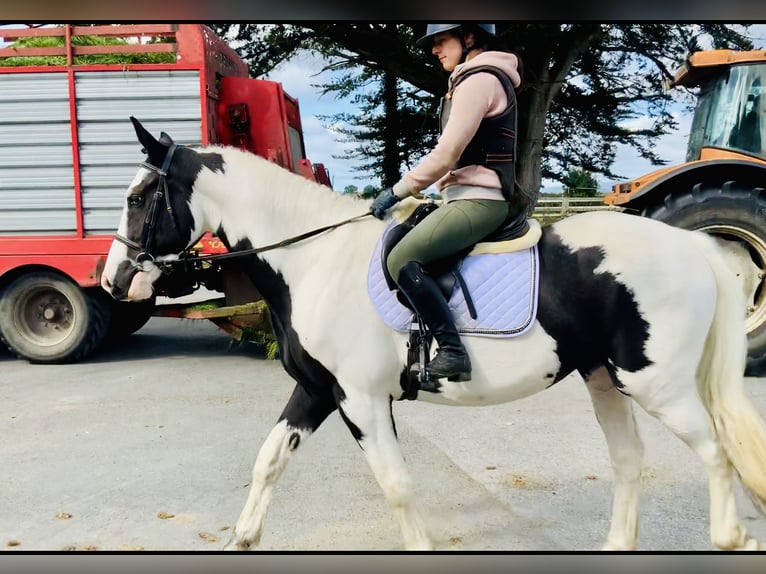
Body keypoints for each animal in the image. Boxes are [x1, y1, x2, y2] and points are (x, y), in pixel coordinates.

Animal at [100, 118, 766, 552]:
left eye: (140, 196)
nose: (114, 280)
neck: (314, 260)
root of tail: (695, 247)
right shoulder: (317, 391)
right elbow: (269, 459)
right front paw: (243, 537)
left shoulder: (361, 400)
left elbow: (396, 485)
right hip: (605, 378)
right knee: (630, 461)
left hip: (657, 385)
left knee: (717, 453)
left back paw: (729, 537)